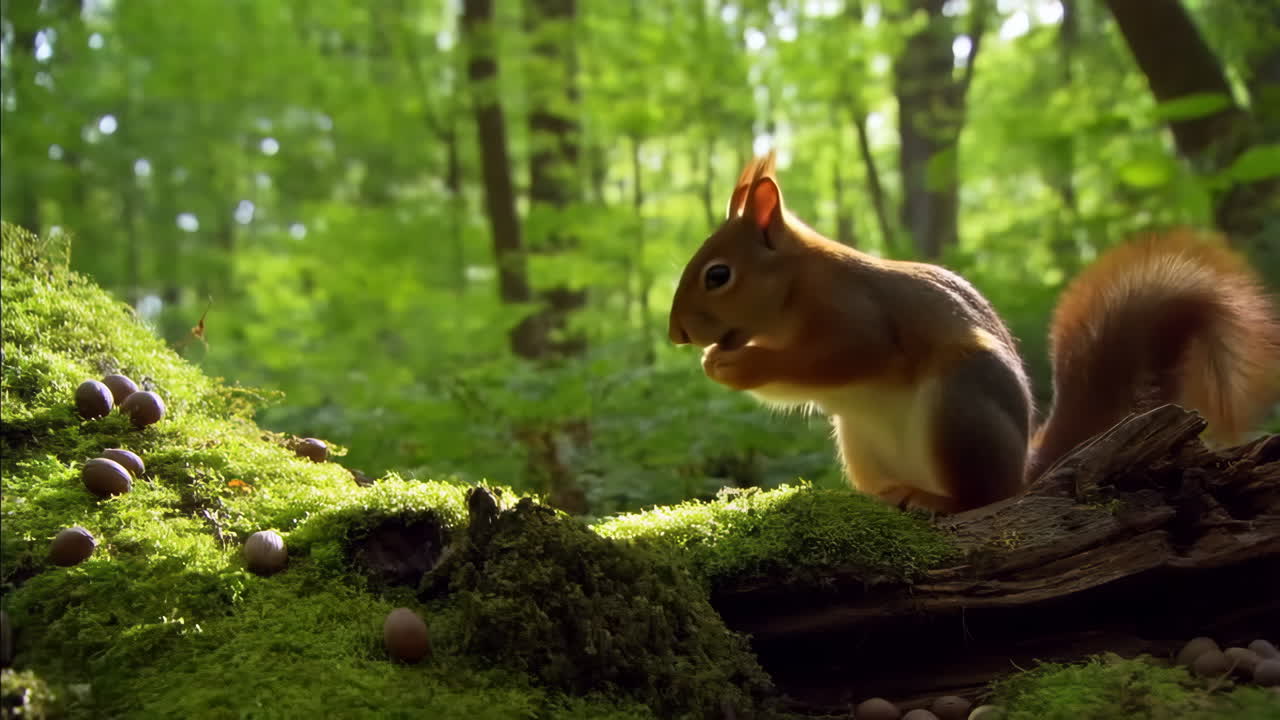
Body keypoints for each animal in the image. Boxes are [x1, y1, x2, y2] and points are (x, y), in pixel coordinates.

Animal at [667, 150, 1280, 514]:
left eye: (718, 275)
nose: (676, 335)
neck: (798, 283)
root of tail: (1022, 472)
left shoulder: (861, 320)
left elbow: (834, 360)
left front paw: (737, 364)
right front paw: (717, 362)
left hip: (960, 406)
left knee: (980, 498)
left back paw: (932, 500)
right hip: (860, 439)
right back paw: (889, 495)